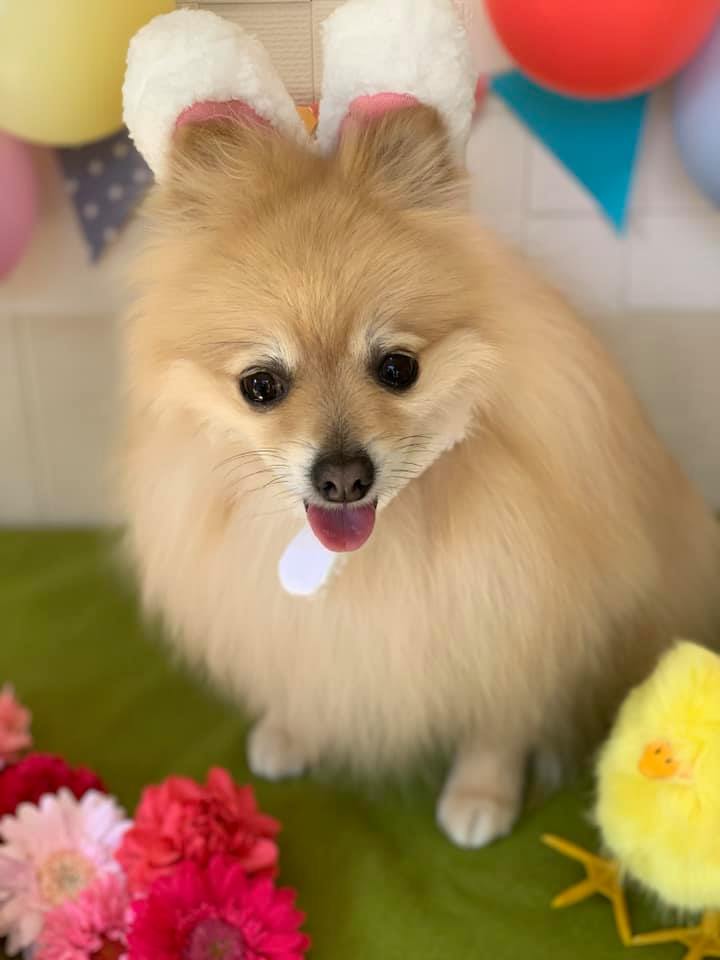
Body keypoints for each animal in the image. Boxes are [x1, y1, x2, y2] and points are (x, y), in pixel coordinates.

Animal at [121, 104, 720, 848]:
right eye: (260, 386)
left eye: (398, 368)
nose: (342, 477)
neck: (372, 555)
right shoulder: (295, 623)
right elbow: (304, 666)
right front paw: (294, 730)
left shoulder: (518, 613)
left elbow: (500, 721)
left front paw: (482, 794)